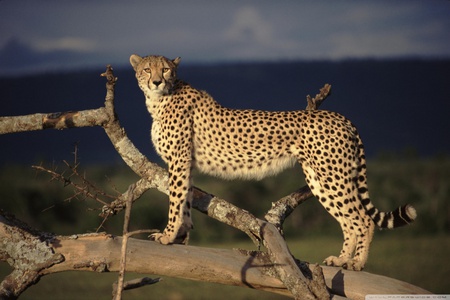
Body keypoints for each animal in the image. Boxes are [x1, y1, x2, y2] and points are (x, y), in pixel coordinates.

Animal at [129, 52, 414, 270]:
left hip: (333, 176)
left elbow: (175, 199)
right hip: (320, 179)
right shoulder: (185, 163)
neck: (160, 99)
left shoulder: (178, 160)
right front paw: (180, 235)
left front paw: (168, 235)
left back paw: (356, 263)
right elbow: (185, 199)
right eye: (147, 69)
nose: (156, 82)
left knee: (362, 219)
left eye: (165, 69)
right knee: (348, 221)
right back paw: (342, 259)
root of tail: (340, 116)